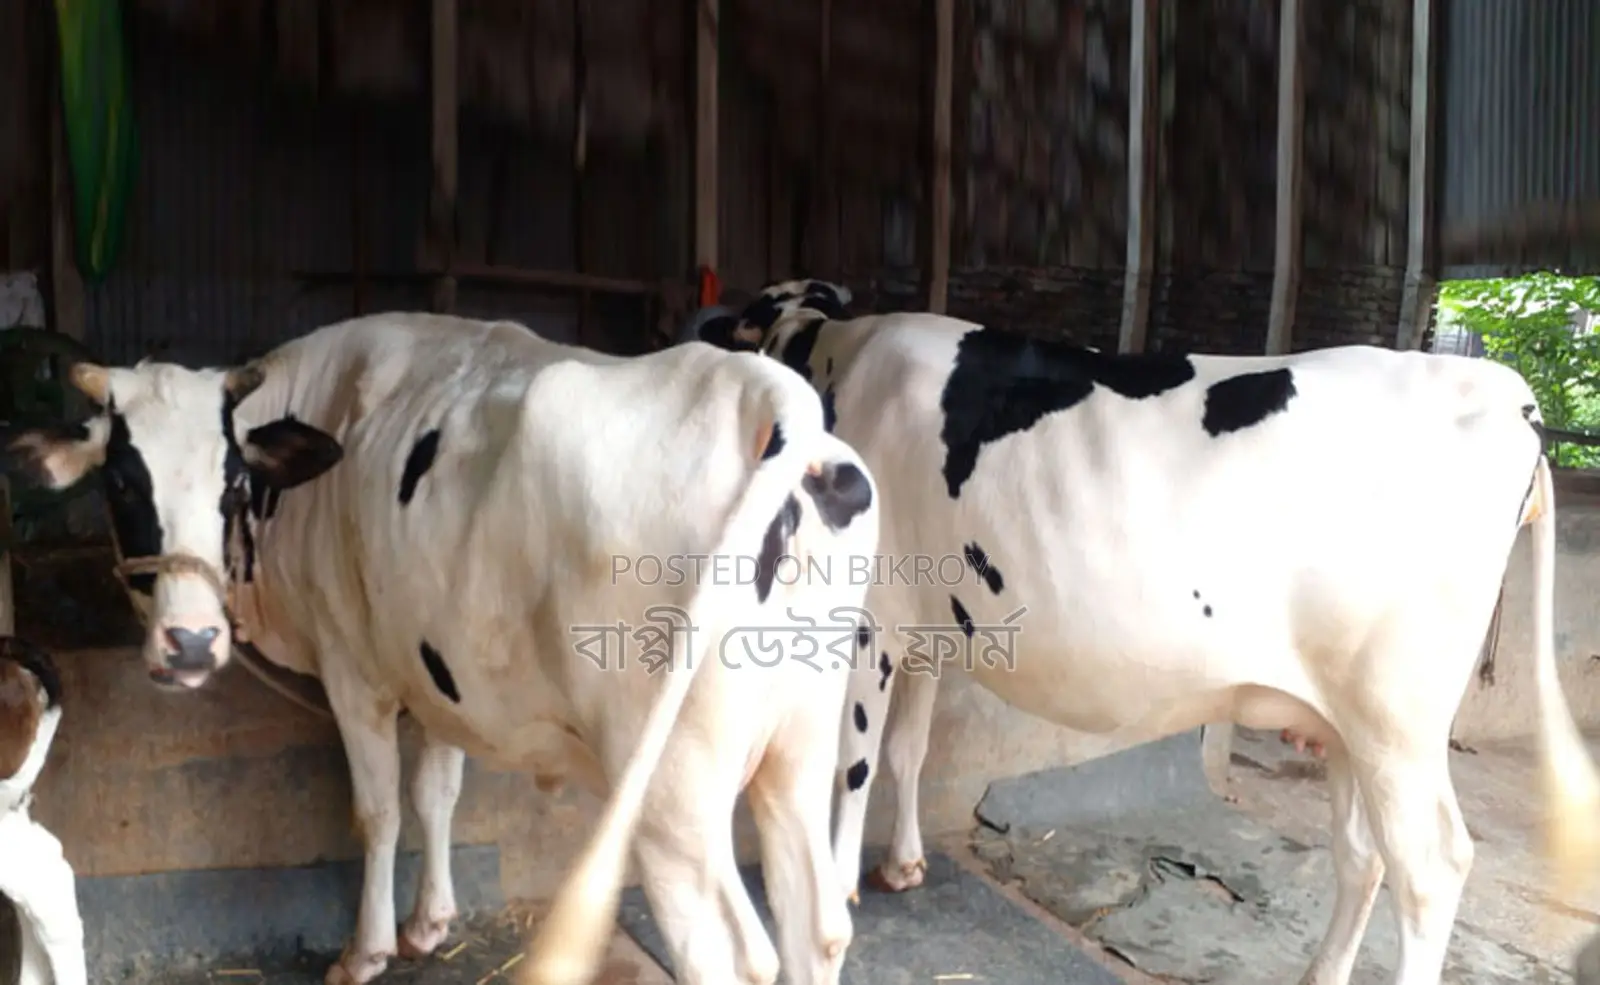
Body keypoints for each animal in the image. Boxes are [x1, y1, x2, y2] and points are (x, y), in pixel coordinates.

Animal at [2, 311, 881, 985]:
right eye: (121, 481)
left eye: (233, 483)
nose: (189, 642)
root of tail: (759, 391)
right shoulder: (436, 667)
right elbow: (438, 791)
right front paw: (430, 922)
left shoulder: (354, 670)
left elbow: (379, 809)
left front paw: (367, 951)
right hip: (797, 747)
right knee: (816, 925)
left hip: (673, 791)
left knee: (731, 953)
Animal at [684, 279, 1600, 985]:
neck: (838, 353)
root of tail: (1505, 394)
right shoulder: (929, 619)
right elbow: (908, 749)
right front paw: (903, 862)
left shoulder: (871, 618)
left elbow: (857, 763)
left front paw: (839, 887)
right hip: (1350, 720)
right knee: (1363, 853)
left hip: (1397, 716)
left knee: (1430, 868)